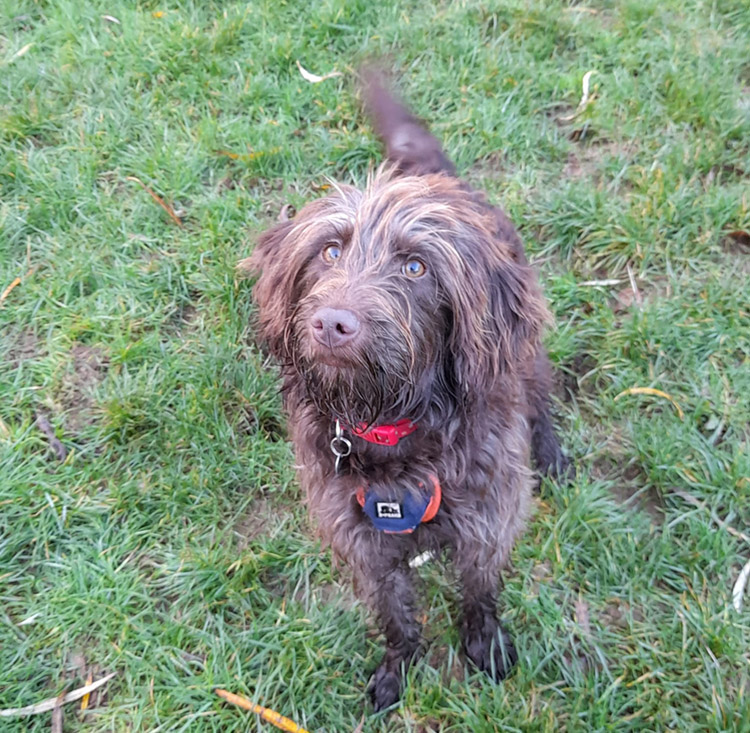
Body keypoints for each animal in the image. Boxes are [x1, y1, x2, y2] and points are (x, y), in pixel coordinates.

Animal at [244, 73, 568, 708]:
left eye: (416, 267)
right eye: (330, 251)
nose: (333, 324)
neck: (395, 428)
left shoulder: (489, 520)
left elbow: (479, 591)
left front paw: (484, 643)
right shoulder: (361, 542)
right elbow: (394, 614)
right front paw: (399, 665)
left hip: (526, 357)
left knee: (540, 400)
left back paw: (552, 453)